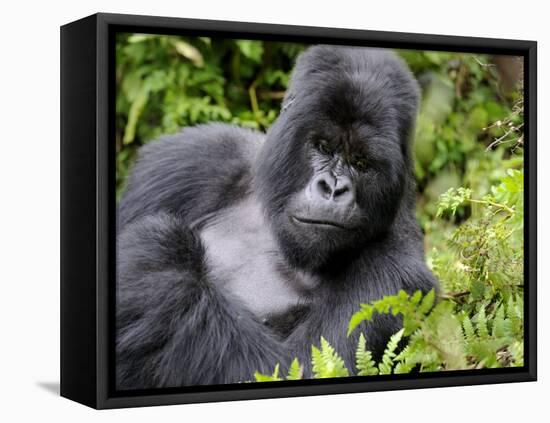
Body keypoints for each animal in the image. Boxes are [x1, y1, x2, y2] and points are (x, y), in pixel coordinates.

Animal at [116, 44, 440, 390]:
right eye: (323, 147)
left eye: (362, 163)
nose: (333, 189)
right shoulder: (193, 156)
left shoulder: (398, 276)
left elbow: (294, 365)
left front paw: (157, 256)